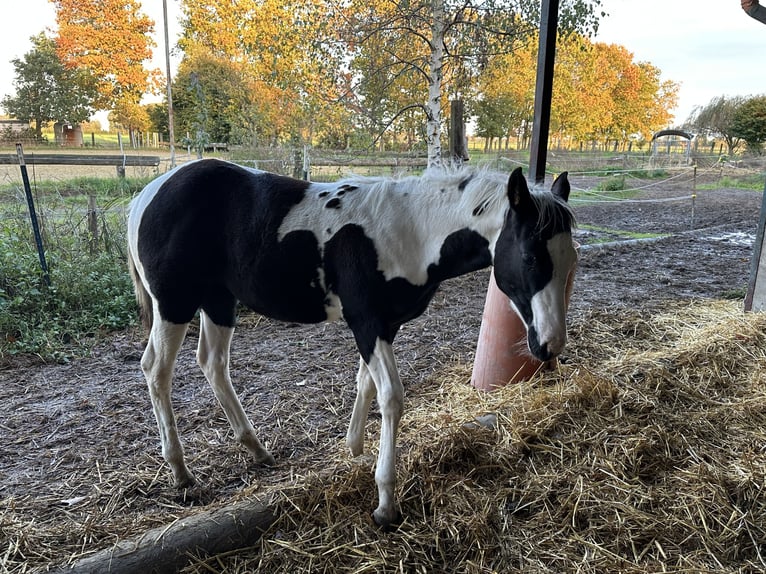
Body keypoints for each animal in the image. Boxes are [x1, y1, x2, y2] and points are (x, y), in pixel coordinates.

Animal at [126, 158, 577, 528]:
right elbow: (392, 396)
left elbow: (366, 385)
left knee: (212, 362)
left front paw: (355, 449)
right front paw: (385, 504)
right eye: (532, 257)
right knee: (156, 370)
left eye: (570, 259)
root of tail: (147, 194)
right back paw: (181, 472)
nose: (550, 345)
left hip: (218, 300)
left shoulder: (385, 327)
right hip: (175, 303)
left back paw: (256, 449)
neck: (411, 231)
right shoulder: (366, 322)